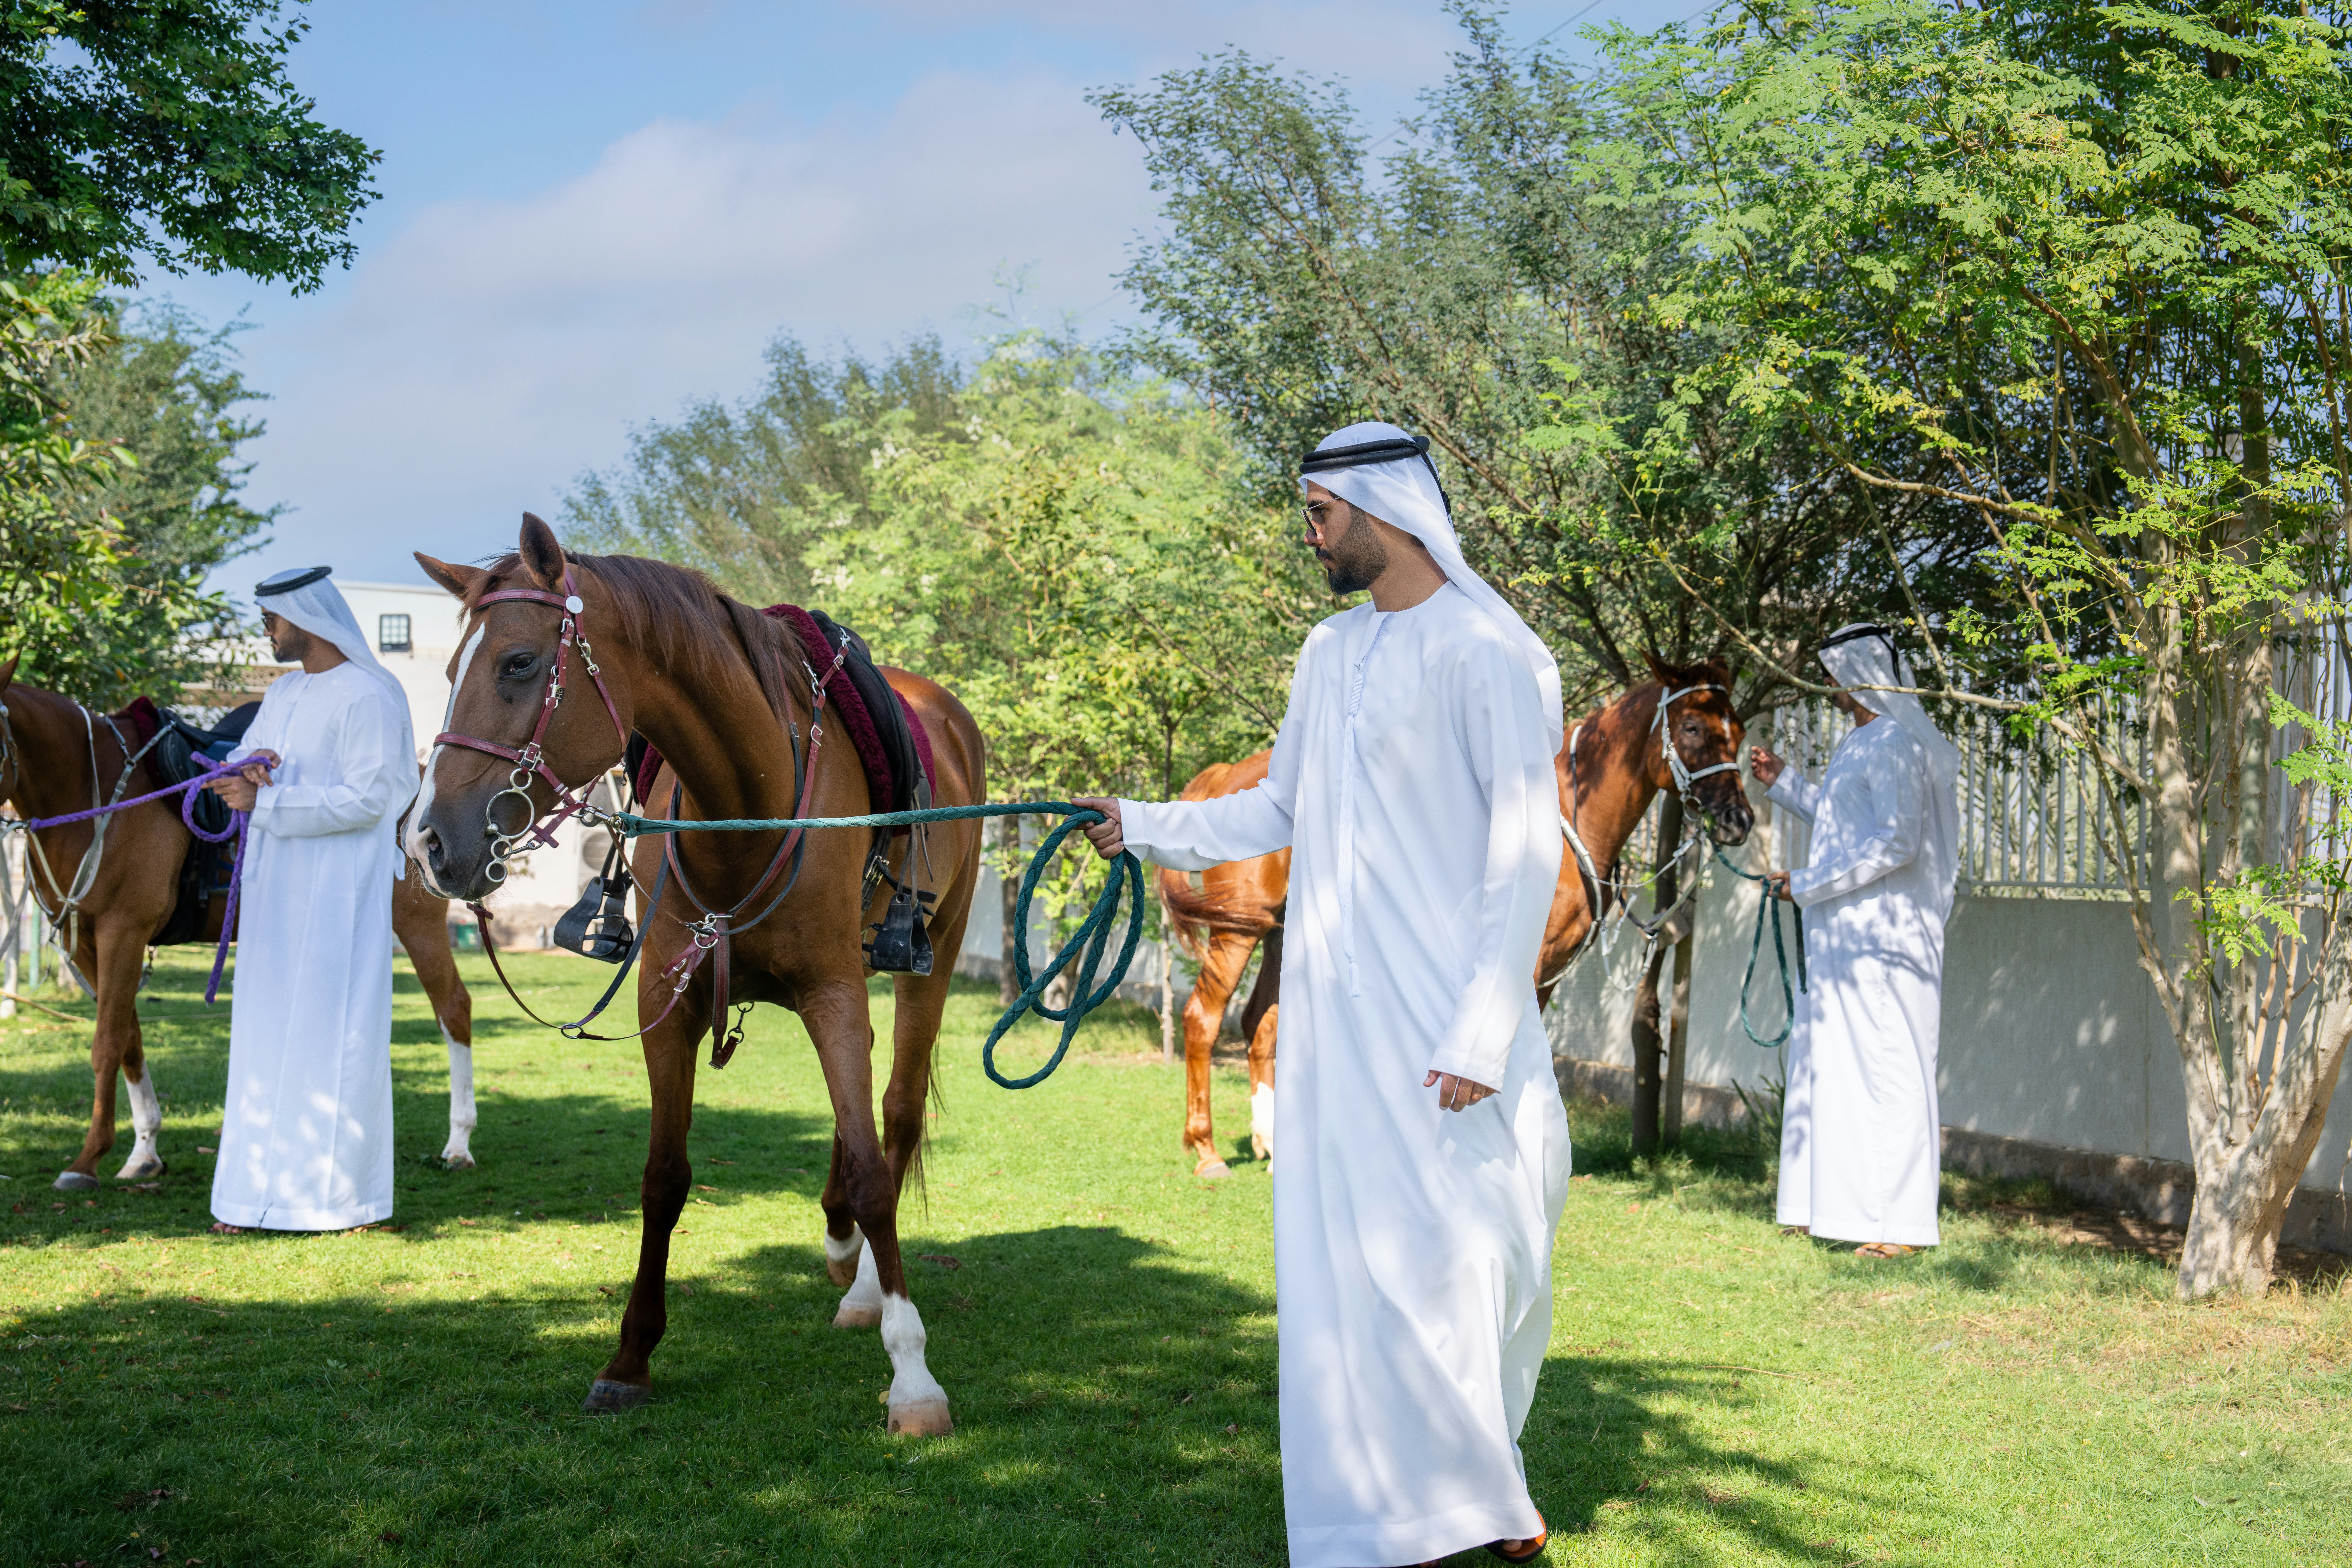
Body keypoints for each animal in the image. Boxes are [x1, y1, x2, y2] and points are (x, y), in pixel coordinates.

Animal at [0, 658, 479, 1192]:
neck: (93, 786)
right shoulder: (87, 942)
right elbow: (129, 1039)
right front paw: (143, 1151)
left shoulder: (122, 932)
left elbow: (105, 1043)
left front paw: (86, 1161)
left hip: (417, 925)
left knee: (453, 1009)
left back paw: (458, 1143)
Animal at [405, 515, 986, 1435]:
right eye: (452, 668)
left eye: (519, 663)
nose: (430, 842)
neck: (747, 802)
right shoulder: (667, 1002)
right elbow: (665, 1176)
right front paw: (630, 1355)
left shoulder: (833, 993)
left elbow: (871, 1169)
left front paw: (913, 1375)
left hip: (930, 959)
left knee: (893, 1116)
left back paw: (865, 1286)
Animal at [1154, 655, 1751, 1170]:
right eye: (1692, 727)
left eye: (1740, 731)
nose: (1738, 820)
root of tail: (1227, 776)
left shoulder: (1544, 976)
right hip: (1235, 932)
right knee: (1203, 1020)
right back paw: (1207, 1150)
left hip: (1279, 934)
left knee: (1259, 1025)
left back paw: (1274, 1144)